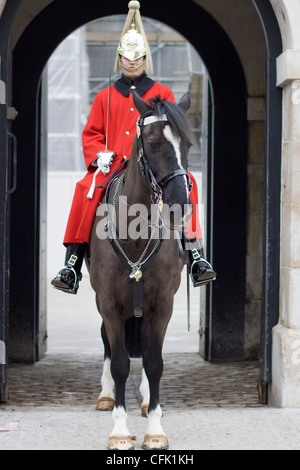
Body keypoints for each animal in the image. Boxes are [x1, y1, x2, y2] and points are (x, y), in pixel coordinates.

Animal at [89, 90, 192, 450]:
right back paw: (107, 395)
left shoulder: (162, 304)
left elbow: (154, 361)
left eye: (188, 144)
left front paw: (155, 429)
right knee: (108, 343)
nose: (180, 204)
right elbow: (120, 362)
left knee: (147, 348)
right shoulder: (108, 302)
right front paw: (120, 431)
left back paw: (146, 400)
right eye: (152, 142)